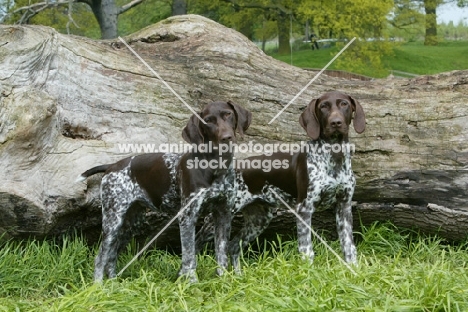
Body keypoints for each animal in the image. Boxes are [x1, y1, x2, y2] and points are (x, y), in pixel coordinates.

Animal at [78, 101, 250, 282]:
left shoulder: (223, 216)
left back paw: (114, 283)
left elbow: (221, 255)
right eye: (208, 121)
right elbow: (189, 257)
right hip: (113, 221)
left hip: (130, 224)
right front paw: (192, 282)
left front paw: (224, 280)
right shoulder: (187, 217)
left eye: (228, 114)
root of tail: (111, 166)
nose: (226, 137)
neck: (215, 168)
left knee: (111, 256)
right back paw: (98, 286)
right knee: (100, 257)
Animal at [196, 90, 364, 270]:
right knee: (197, 243)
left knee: (233, 246)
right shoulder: (304, 209)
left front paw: (353, 269)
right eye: (323, 107)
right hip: (219, 218)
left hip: (259, 220)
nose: (336, 122)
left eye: (344, 104)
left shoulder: (344, 206)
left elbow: (349, 246)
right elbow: (307, 250)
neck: (334, 157)